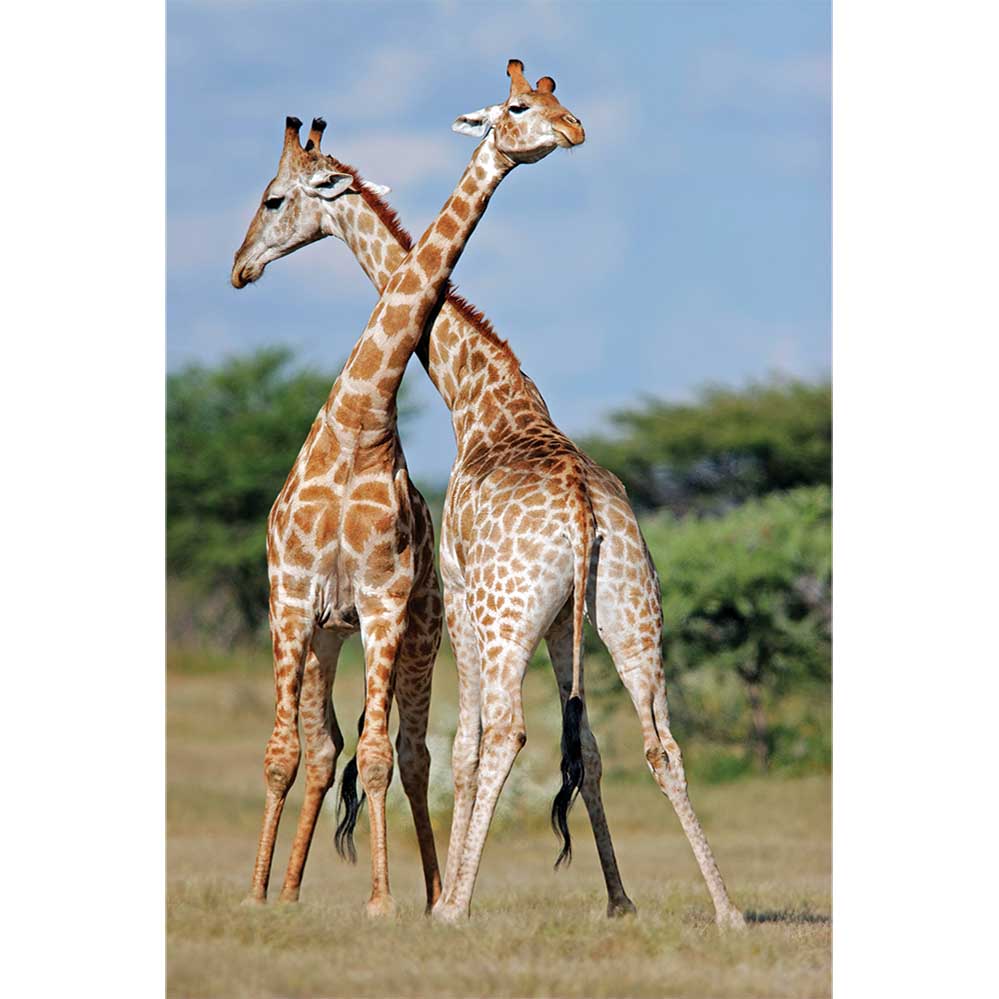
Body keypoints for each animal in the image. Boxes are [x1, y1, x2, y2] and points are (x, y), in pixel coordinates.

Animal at [233, 61, 745, 929]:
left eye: (272, 198)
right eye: (527, 101)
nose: (240, 268)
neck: (482, 397)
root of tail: (582, 508)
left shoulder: (458, 596)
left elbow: (466, 748)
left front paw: (445, 897)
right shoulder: (557, 622)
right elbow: (587, 750)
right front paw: (616, 898)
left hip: (502, 618)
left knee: (500, 732)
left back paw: (447, 904)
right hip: (629, 609)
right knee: (660, 741)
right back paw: (726, 909)